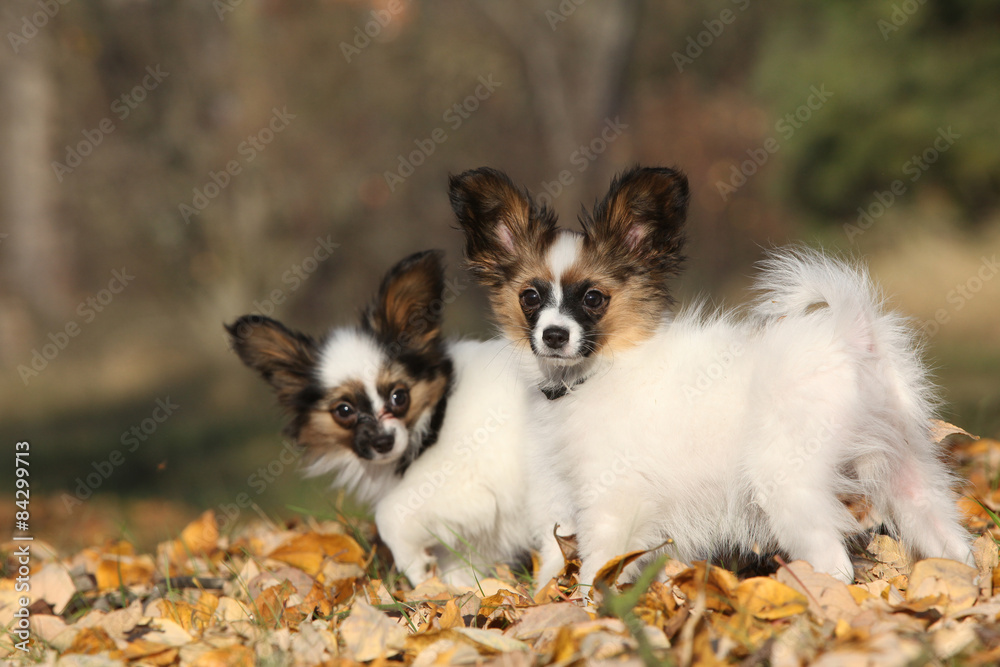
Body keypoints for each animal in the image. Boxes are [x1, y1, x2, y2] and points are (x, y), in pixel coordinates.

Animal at [226, 252, 544, 588]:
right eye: (344, 411)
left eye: (399, 397)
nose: (383, 442)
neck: (434, 419)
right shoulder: (483, 517)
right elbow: (464, 563)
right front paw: (452, 589)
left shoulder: (464, 486)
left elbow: (389, 514)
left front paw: (415, 568)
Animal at [450, 170, 972, 592]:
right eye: (530, 297)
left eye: (594, 298)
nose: (554, 335)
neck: (596, 372)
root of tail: (853, 332)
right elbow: (570, 557)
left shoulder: (614, 499)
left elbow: (598, 565)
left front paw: (587, 612)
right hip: (908, 468)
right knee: (951, 542)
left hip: (788, 482)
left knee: (835, 563)